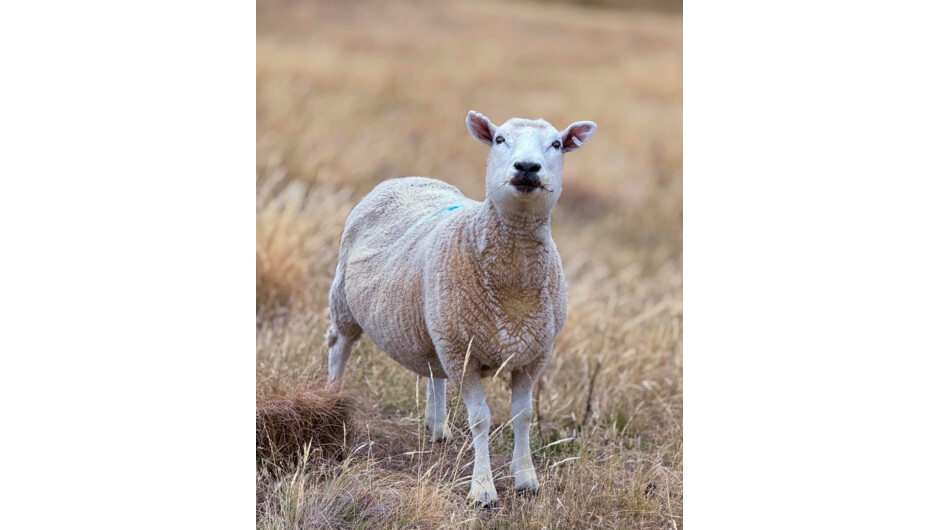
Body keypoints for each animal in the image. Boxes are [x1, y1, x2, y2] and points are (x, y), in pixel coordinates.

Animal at [325, 110, 596, 506]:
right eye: (499, 139)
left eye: (557, 144)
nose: (527, 167)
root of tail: (410, 177)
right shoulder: (462, 354)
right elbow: (481, 419)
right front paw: (483, 489)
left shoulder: (532, 356)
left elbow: (523, 416)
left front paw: (526, 479)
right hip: (346, 301)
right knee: (339, 349)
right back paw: (330, 402)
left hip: (432, 325)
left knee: (431, 371)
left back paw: (437, 428)